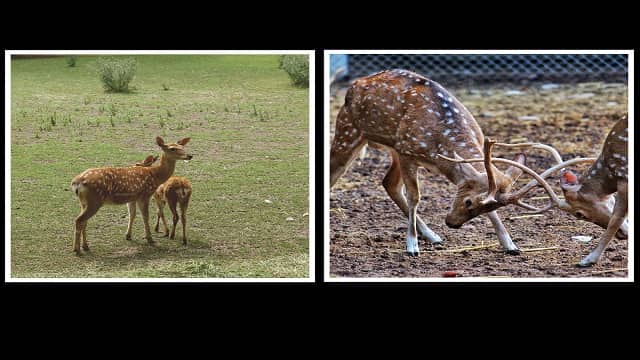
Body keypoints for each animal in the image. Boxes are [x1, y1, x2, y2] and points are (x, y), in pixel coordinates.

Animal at [332, 69, 564, 256]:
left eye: (484, 209)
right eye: (468, 202)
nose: (452, 223)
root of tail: (354, 85)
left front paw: (510, 245)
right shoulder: (407, 152)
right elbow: (415, 197)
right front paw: (412, 246)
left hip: (392, 148)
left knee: (389, 183)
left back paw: (433, 236)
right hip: (348, 131)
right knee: (334, 173)